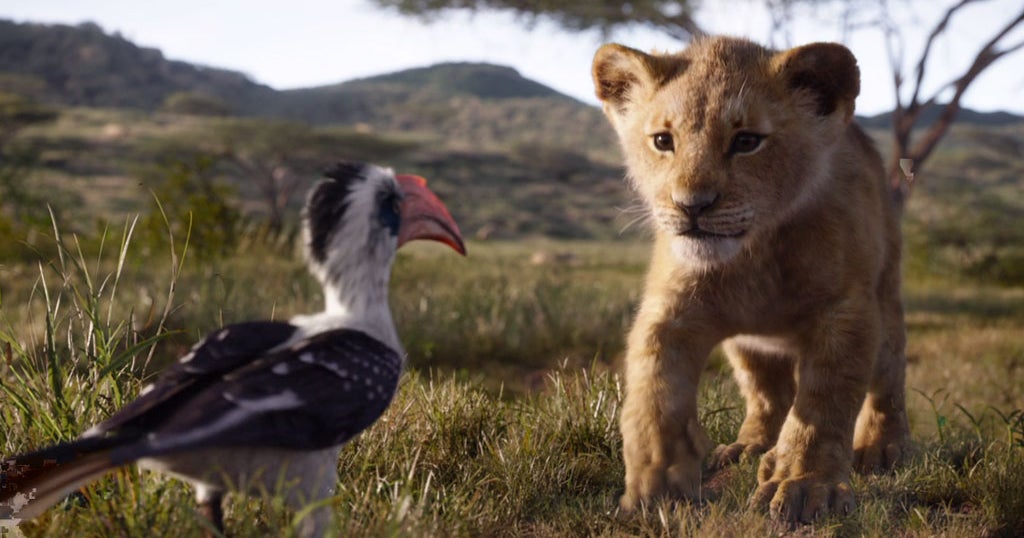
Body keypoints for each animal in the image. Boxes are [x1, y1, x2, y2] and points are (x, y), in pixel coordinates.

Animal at [591, 36, 909, 523]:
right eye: (663, 141)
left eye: (746, 141)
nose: (692, 205)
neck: (754, 257)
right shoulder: (671, 311)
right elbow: (654, 395)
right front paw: (657, 485)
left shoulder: (845, 311)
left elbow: (824, 404)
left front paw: (804, 484)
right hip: (747, 346)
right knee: (767, 394)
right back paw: (750, 447)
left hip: (886, 296)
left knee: (888, 378)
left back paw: (882, 447)